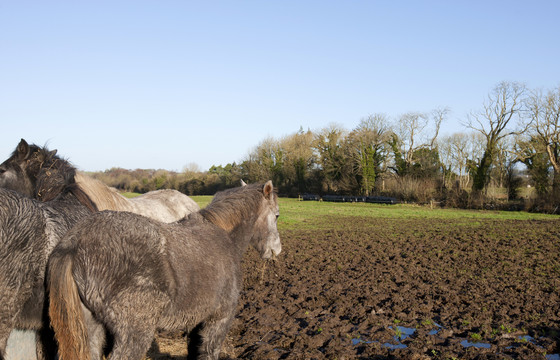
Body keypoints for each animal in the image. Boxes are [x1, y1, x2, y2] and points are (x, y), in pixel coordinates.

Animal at [48, 181, 282, 360]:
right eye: (277, 215)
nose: (277, 250)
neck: (223, 237)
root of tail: (75, 242)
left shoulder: (196, 324)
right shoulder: (218, 321)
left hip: (91, 330)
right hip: (134, 334)